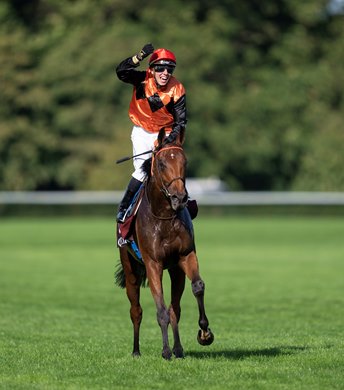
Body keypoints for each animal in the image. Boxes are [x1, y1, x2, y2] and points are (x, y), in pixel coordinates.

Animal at [115, 128, 214, 360]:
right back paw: (136, 350)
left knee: (174, 308)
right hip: (130, 268)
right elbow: (160, 309)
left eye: (184, 161)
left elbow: (197, 287)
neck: (164, 217)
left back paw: (178, 349)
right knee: (136, 310)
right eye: (161, 164)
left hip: (175, 270)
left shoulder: (186, 255)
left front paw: (204, 333)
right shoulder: (153, 263)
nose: (179, 197)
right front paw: (165, 350)